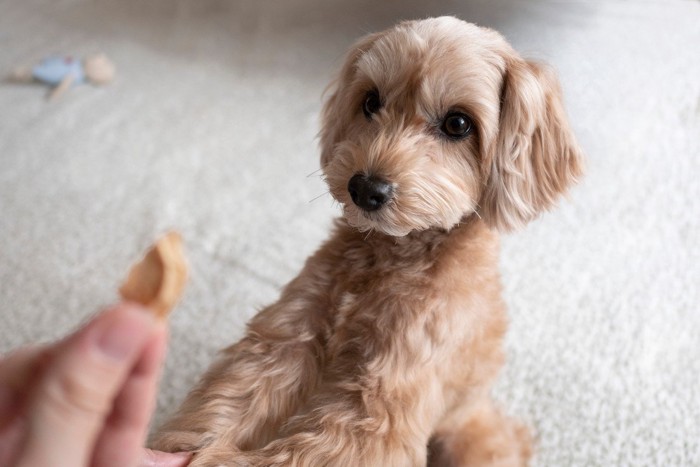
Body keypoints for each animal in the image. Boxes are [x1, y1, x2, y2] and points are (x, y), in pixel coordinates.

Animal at [154, 16, 584, 466]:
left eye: (458, 124)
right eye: (371, 101)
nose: (365, 188)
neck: (393, 254)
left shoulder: (378, 403)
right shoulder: (287, 337)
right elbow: (233, 397)